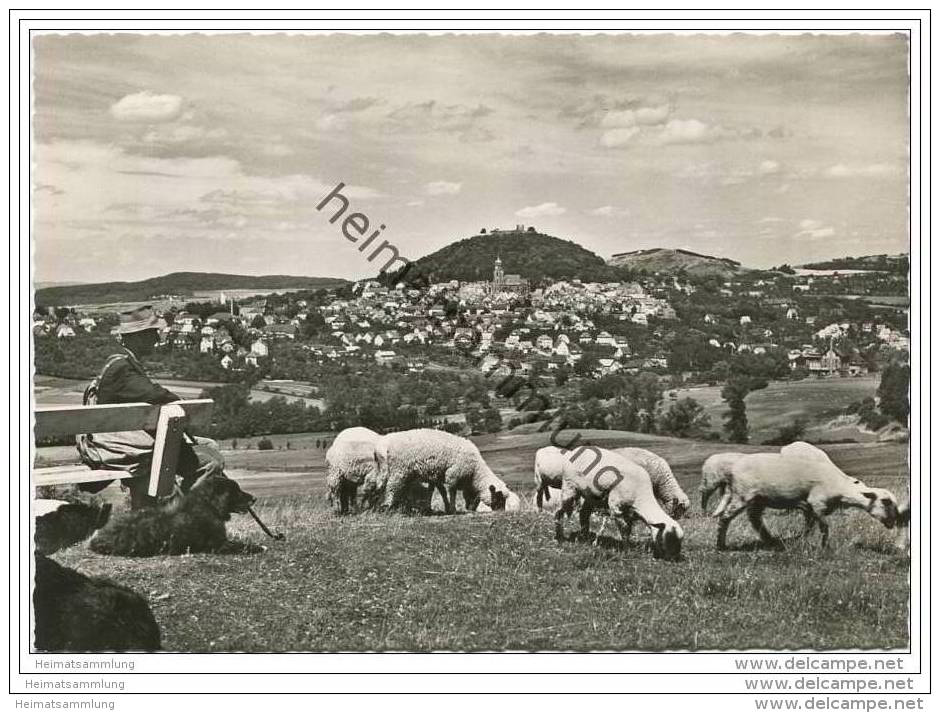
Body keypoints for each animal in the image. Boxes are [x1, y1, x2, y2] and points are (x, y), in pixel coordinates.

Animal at [89, 476, 260, 560]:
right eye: (236, 491)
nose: (254, 499)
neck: (207, 503)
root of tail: (97, 539)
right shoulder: (218, 545)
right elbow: (241, 546)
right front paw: (258, 547)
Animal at [370, 426, 516, 516]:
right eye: (498, 497)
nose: (503, 512)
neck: (474, 472)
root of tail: (381, 446)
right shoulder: (453, 474)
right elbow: (451, 491)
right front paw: (452, 509)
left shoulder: (436, 475)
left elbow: (438, 491)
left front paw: (434, 508)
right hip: (399, 470)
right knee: (391, 487)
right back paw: (388, 507)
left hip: (385, 470)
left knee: (380, 486)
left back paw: (381, 506)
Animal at [552, 444, 684, 560]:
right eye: (666, 538)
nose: (672, 558)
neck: (641, 497)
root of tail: (577, 449)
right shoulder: (616, 508)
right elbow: (624, 529)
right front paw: (626, 550)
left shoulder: (630, 513)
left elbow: (628, 530)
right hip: (570, 487)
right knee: (558, 511)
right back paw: (559, 537)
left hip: (590, 495)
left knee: (584, 514)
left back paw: (586, 538)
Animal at [712, 450, 904, 552]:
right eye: (886, 502)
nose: (894, 522)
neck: (842, 488)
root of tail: (733, 469)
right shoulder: (816, 504)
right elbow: (824, 527)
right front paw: (824, 546)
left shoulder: (810, 507)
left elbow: (809, 527)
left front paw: (800, 540)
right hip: (742, 494)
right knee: (726, 517)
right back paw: (721, 545)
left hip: (759, 498)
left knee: (755, 519)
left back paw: (772, 541)